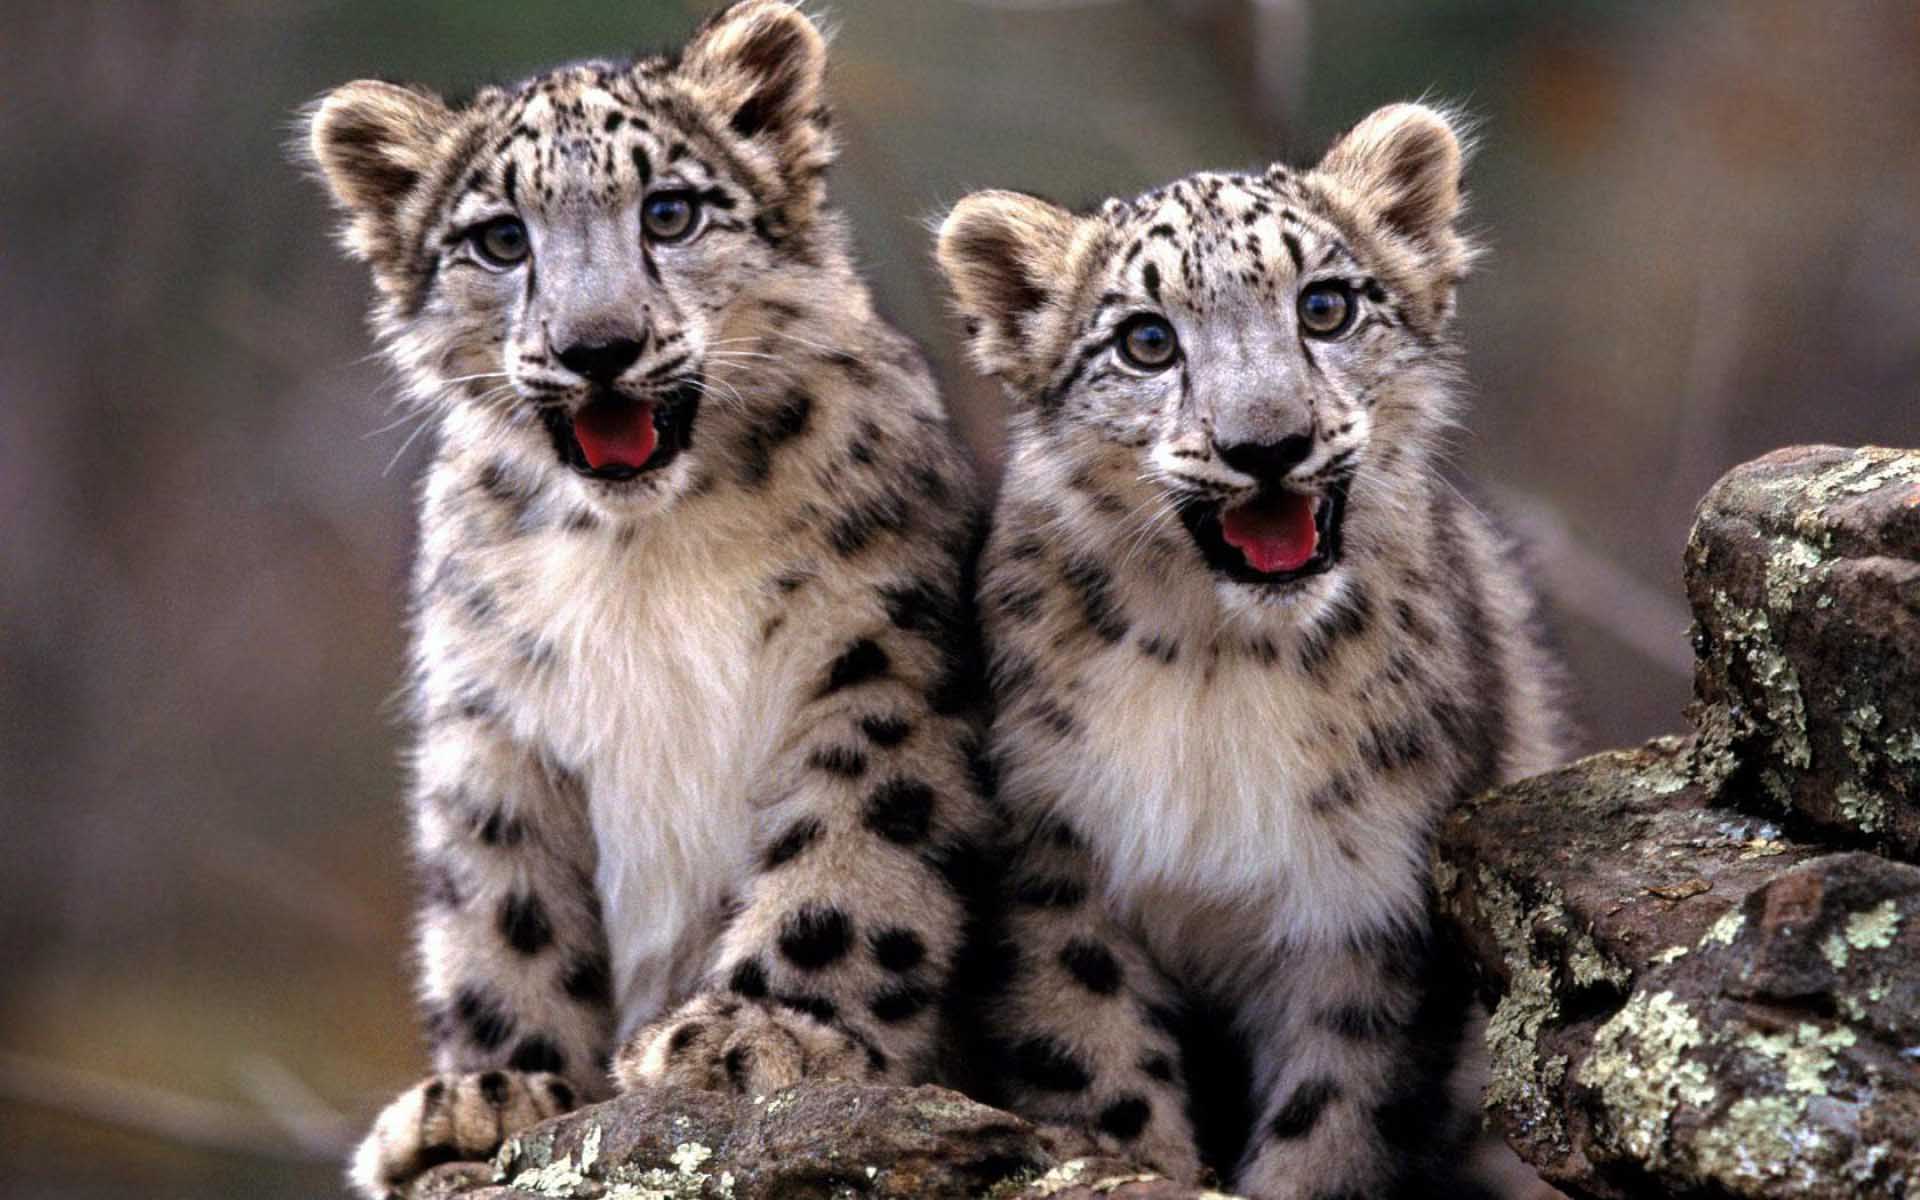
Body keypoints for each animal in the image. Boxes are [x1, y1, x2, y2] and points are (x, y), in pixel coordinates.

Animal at [302, 4, 995, 1195]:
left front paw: (762, 1033)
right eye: (500, 239)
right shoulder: (490, 715)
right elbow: (504, 907)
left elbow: (854, 847)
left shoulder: (880, 656)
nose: (598, 347)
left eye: (670, 211)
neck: (645, 554)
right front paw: (492, 1092)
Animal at [935, 103, 1566, 1200]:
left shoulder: (1369, 898)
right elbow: (1097, 1059)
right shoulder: (1058, 860)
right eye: (1145, 341)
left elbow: (1336, 1112)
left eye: (1325, 306)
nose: (1267, 444)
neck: (1222, 665)